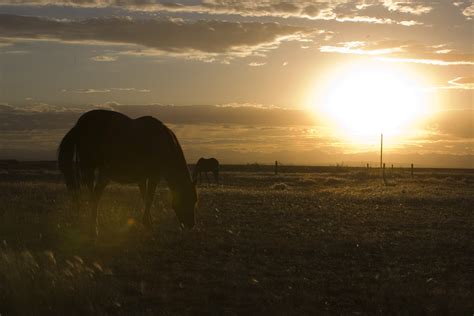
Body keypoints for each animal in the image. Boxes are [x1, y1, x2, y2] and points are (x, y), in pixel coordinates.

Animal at [58, 110, 197, 236]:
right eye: (192, 199)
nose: (191, 225)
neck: (164, 144)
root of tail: (78, 125)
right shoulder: (154, 176)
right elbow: (149, 198)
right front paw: (149, 225)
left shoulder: (143, 178)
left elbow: (145, 197)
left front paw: (148, 222)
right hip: (90, 168)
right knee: (93, 196)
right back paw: (93, 229)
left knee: (95, 195)